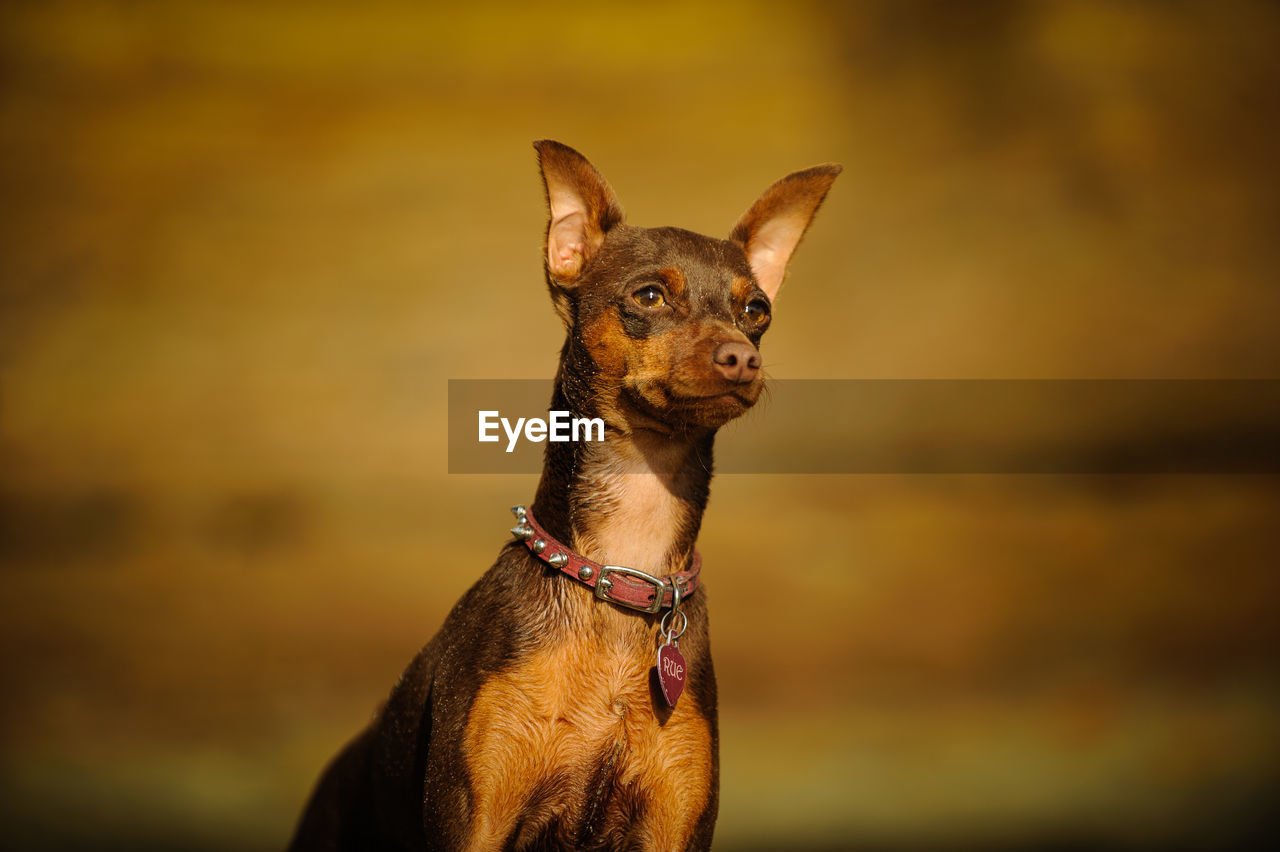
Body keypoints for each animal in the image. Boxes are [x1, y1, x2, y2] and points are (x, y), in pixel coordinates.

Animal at [293, 140, 839, 849]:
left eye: (756, 311)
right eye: (650, 296)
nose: (742, 356)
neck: (623, 568)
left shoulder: (676, 824)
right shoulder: (476, 820)